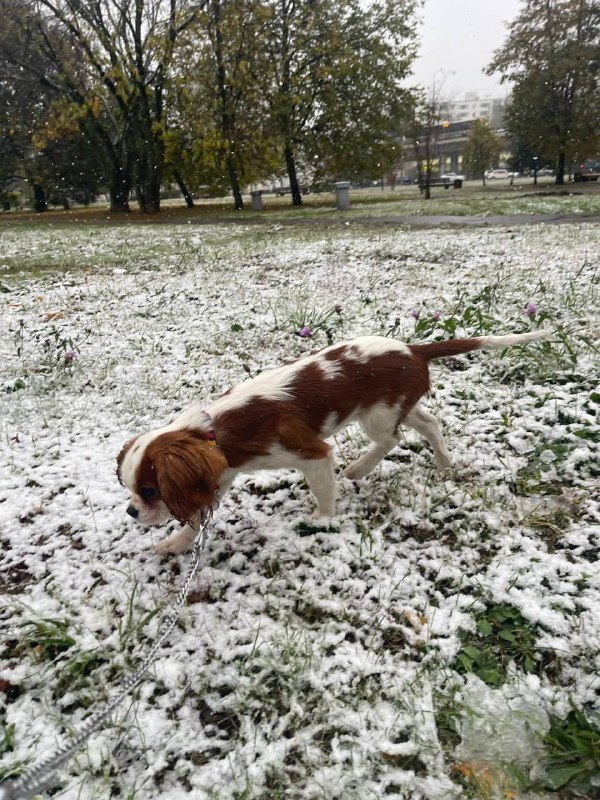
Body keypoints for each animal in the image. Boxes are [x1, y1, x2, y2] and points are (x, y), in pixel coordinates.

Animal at [117, 330, 548, 552]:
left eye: (150, 491)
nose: (131, 512)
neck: (215, 430)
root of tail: (413, 348)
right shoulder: (219, 474)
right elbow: (200, 516)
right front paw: (178, 543)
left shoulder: (310, 452)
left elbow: (323, 487)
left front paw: (323, 518)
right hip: (396, 407)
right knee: (430, 424)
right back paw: (443, 465)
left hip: (377, 418)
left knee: (391, 439)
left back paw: (360, 467)